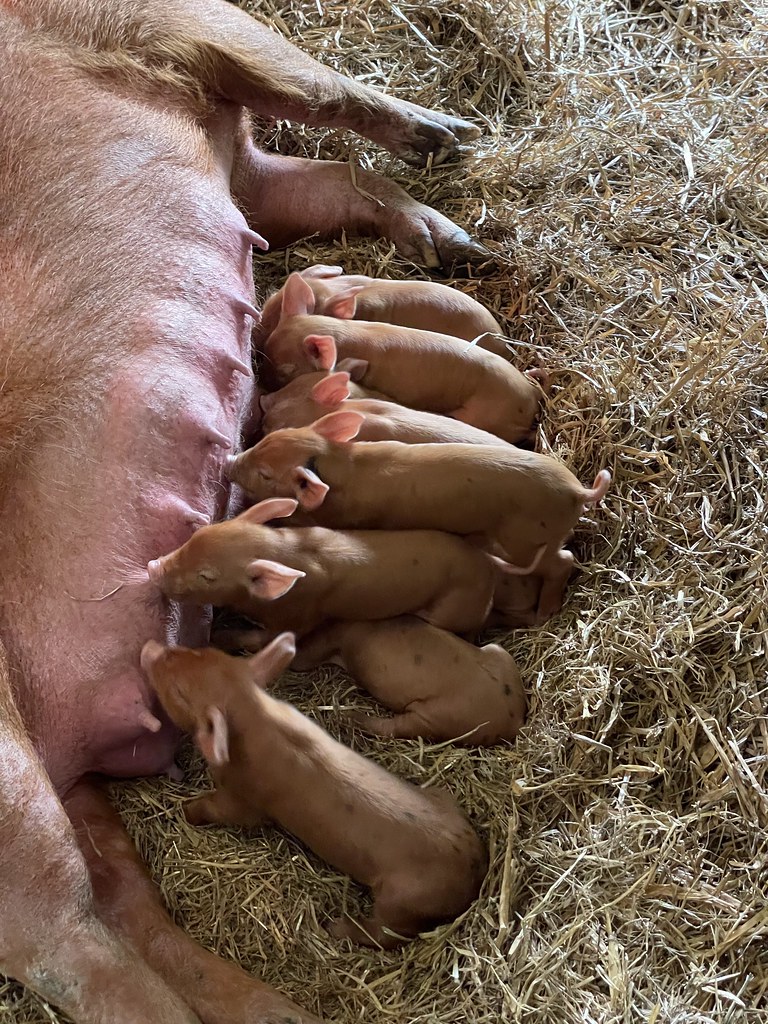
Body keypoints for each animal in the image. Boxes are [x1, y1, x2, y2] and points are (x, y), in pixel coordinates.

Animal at [141, 634, 488, 949]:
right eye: (201, 651)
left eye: (178, 692)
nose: (151, 647)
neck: (253, 713)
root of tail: (474, 869)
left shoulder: (244, 800)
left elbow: (222, 810)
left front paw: (186, 811)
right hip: (444, 801)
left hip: (401, 900)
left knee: (386, 934)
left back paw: (335, 926)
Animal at [147, 498, 498, 636]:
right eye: (197, 536)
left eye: (207, 575)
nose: (152, 566)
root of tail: (488, 571)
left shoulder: (297, 619)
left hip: (453, 612)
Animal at [226, 412, 612, 623]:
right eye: (268, 440)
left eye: (265, 474)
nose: (229, 461)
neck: (341, 470)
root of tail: (578, 491)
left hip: (526, 540)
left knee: (563, 561)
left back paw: (546, 613)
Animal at [293, 617, 527, 744]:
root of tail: (514, 719)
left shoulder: (329, 639)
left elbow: (303, 656)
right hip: (499, 653)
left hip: (435, 718)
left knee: (392, 729)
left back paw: (345, 715)